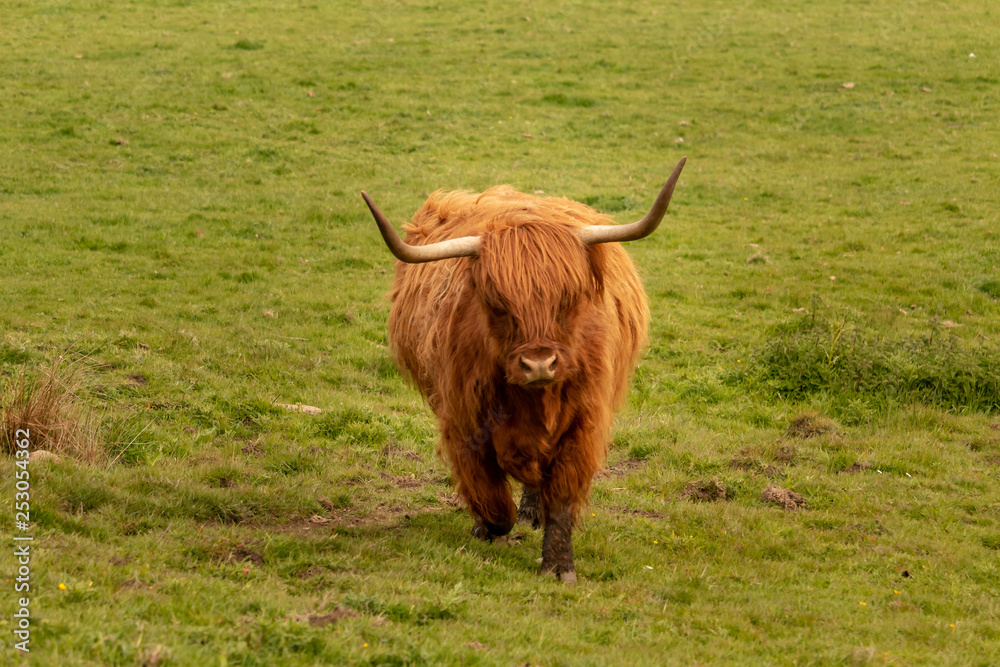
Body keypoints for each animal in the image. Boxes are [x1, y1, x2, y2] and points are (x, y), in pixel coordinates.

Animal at [364, 159, 684, 580]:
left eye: (569, 300)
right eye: (498, 304)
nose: (539, 364)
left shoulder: (583, 423)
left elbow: (562, 495)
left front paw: (559, 565)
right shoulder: (464, 422)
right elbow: (492, 498)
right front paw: (487, 528)